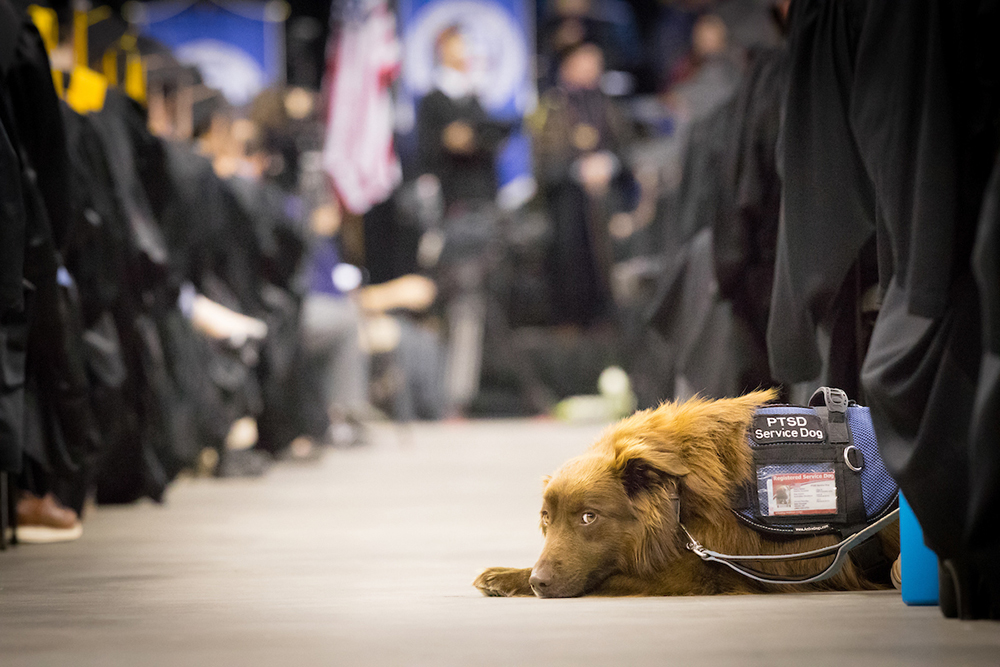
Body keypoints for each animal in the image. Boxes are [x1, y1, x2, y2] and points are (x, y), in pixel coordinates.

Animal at [472, 388, 904, 596]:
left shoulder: (698, 573)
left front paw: (510, 578)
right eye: (546, 519)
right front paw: (508, 575)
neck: (679, 499)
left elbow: (610, 575)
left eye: (588, 517)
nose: (538, 583)